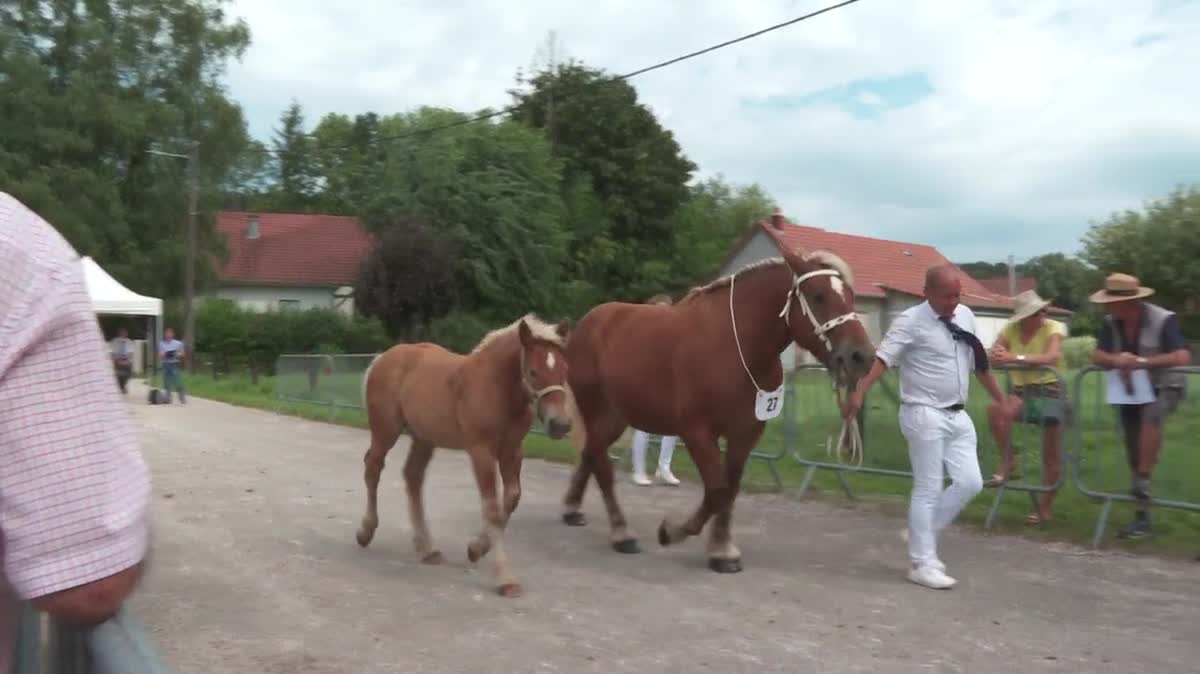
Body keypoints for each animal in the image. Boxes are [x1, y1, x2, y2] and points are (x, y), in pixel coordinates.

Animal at [355, 311, 571, 594]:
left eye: (564, 371)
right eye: (533, 372)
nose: (560, 425)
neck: (498, 389)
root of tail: (383, 358)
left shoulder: (512, 451)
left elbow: (511, 499)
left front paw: (476, 549)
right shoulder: (481, 451)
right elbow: (492, 508)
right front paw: (505, 578)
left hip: (424, 438)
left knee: (413, 476)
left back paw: (427, 549)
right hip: (385, 430)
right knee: (373, 468)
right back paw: (365, 532)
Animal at [556, 247, 878, 570]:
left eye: (850, 296)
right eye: (818, 295)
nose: (861, 356)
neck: (736, 348)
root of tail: (588, 323)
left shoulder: (745, 434)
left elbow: (730, 490)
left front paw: (721, 549)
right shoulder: (697, 432)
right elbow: (717, 490)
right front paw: (672, 531)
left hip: (616, 417)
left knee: (591, 454)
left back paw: (573, 509)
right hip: (597, 410)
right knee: (602, 466)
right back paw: (622, 533)